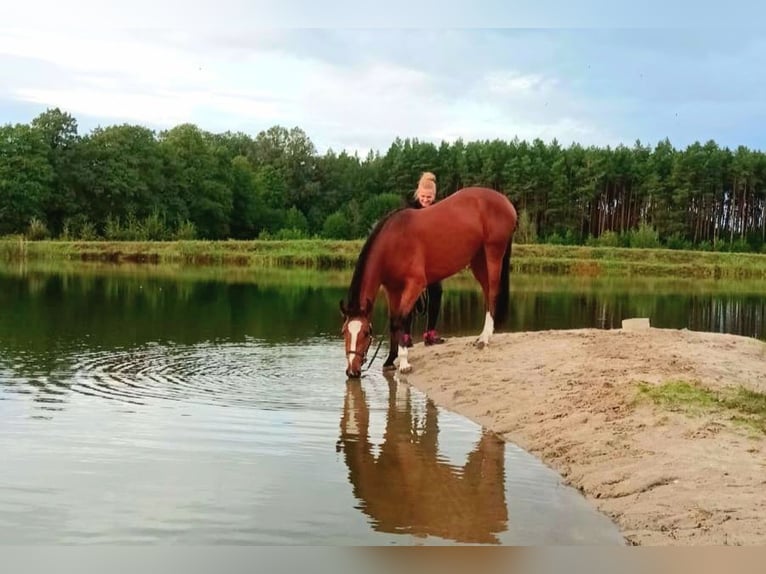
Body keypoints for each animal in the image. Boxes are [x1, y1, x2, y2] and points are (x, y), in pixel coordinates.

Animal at [344, 187, 520, 380]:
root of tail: (505, 201)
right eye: (344, 332)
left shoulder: (415, 285)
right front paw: (390, 360)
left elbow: (401, 320)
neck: (393, 242)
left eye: (366, 333)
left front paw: (404, 363)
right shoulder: (393, 289)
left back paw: (485, 339)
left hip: (493, 252)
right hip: (479, 260)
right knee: (487, 293)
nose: (352, 371)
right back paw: (482, 336)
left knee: (493, 292)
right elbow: (393, 322)